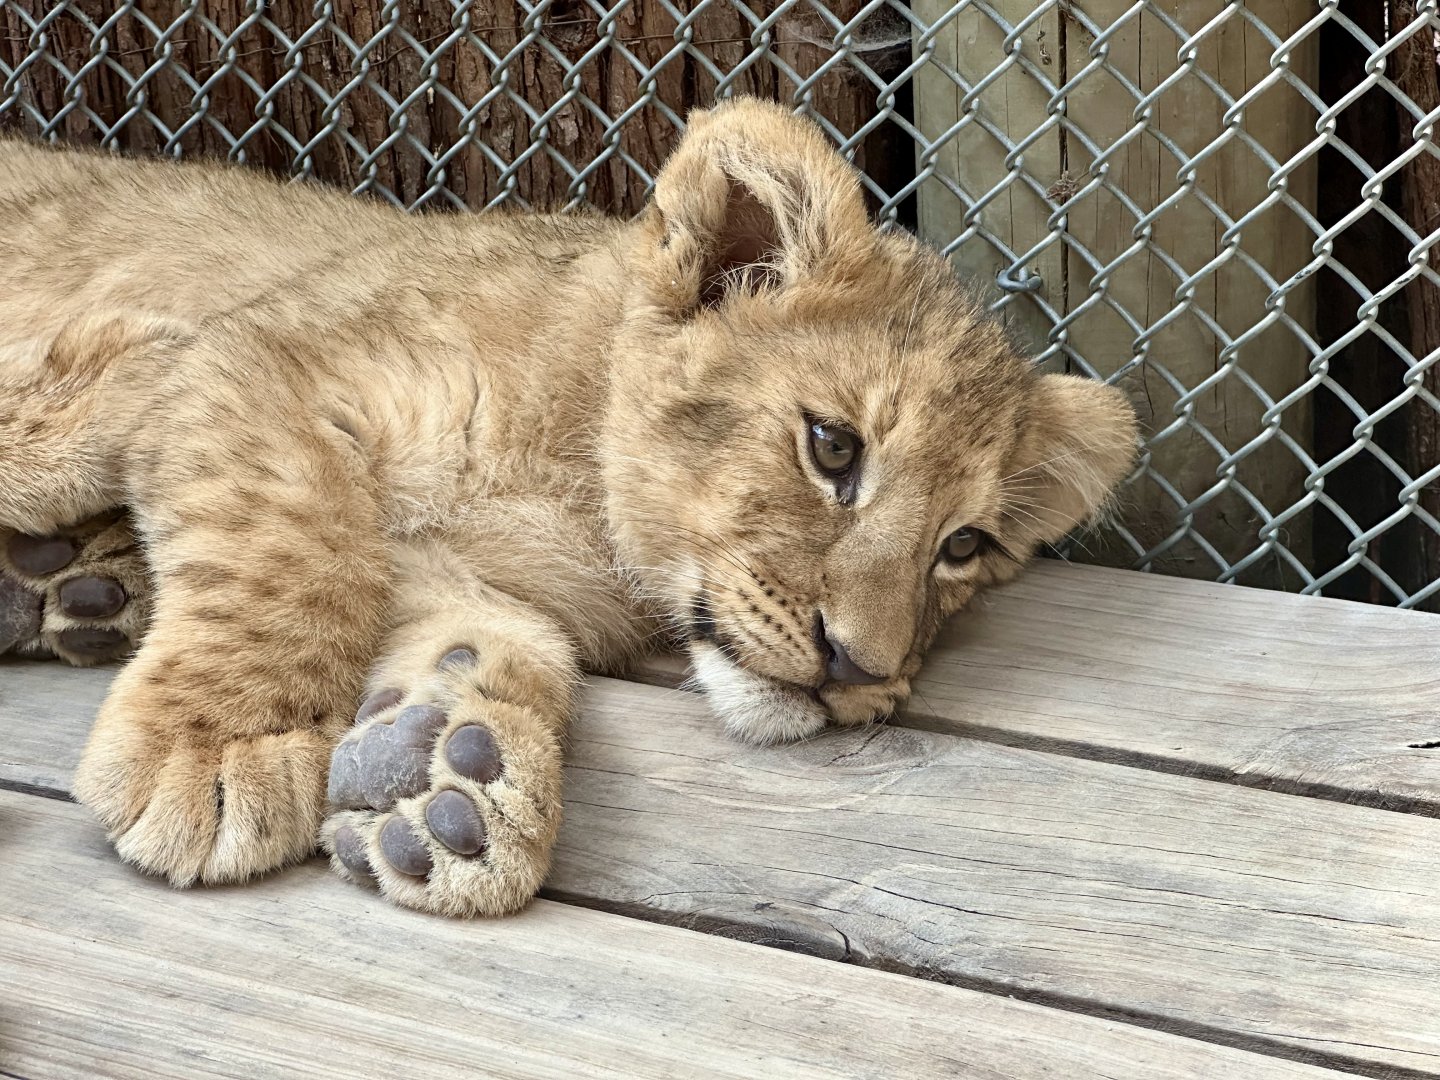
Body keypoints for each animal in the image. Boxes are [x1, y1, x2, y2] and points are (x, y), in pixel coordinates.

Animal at [0, 99, 1136, 917]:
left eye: (963, 546)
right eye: (833, 447)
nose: (858, 668)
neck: (581, 494)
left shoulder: (454, 561)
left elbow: (494, 629)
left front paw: (444, 780)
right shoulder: (264, 362)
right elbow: (292, 553)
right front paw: (217, 750)